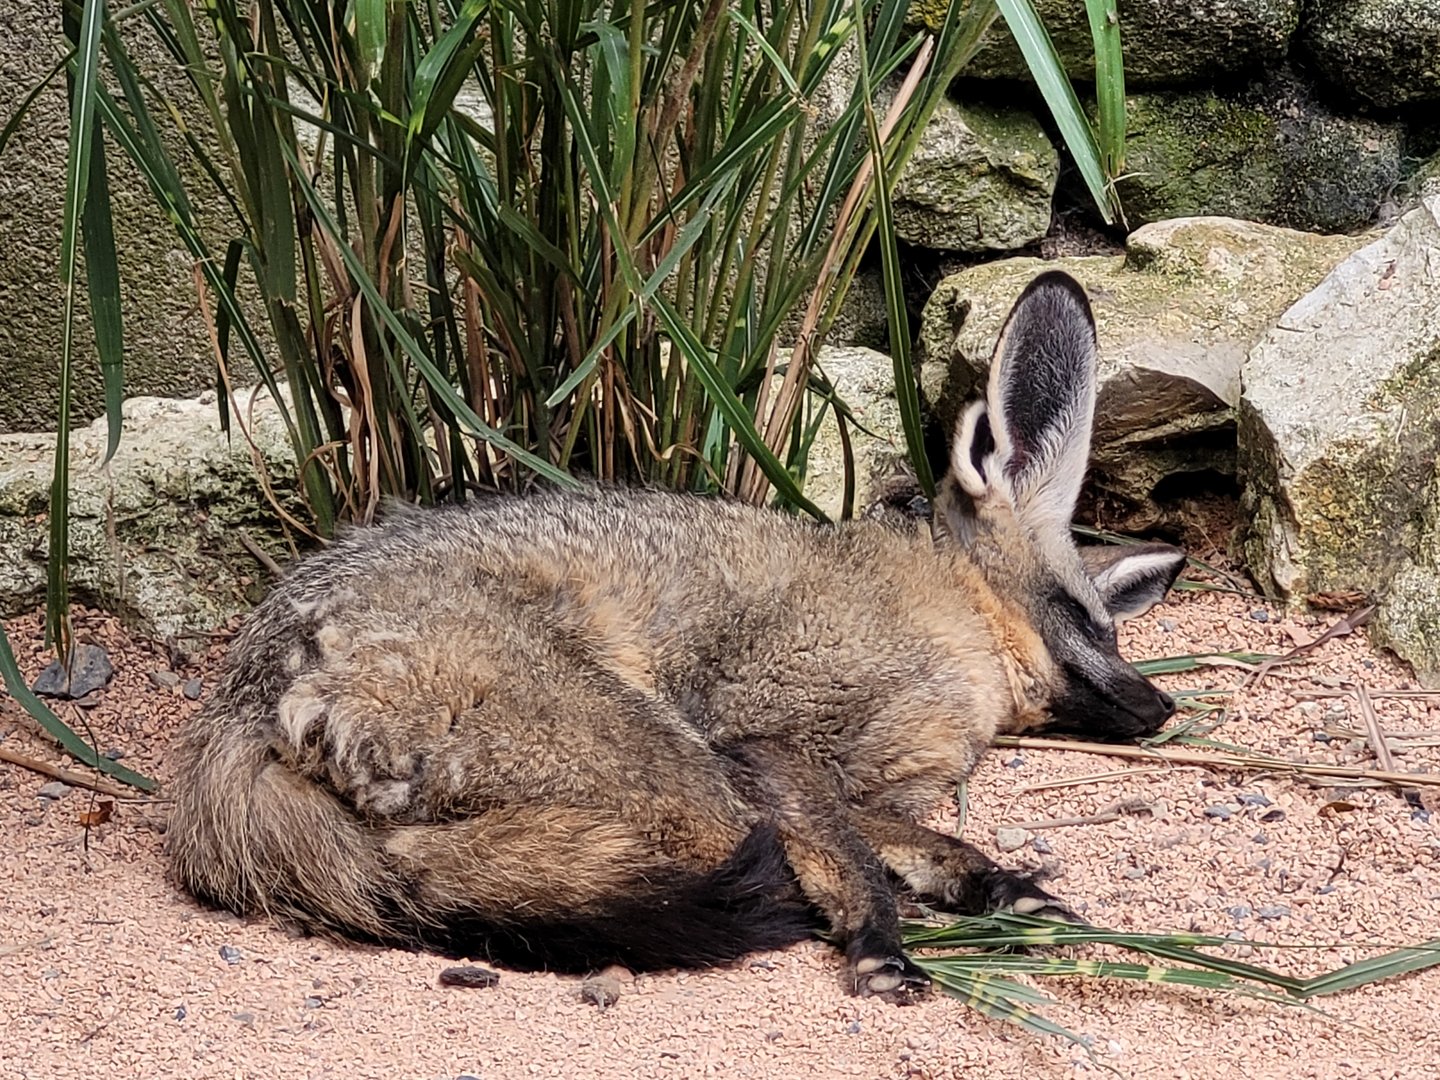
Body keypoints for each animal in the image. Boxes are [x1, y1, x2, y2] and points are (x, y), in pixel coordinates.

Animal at [166, 270, 1186, 1001]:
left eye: (1115, 630)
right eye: (1091, 623)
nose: (1164, 708)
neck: (946, 611)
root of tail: (238, 706)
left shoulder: (813, 769)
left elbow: (889, 829)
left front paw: (983, 879)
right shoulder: (760, 732)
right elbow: (849, 847)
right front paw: (879, 935)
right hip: (674, 767)